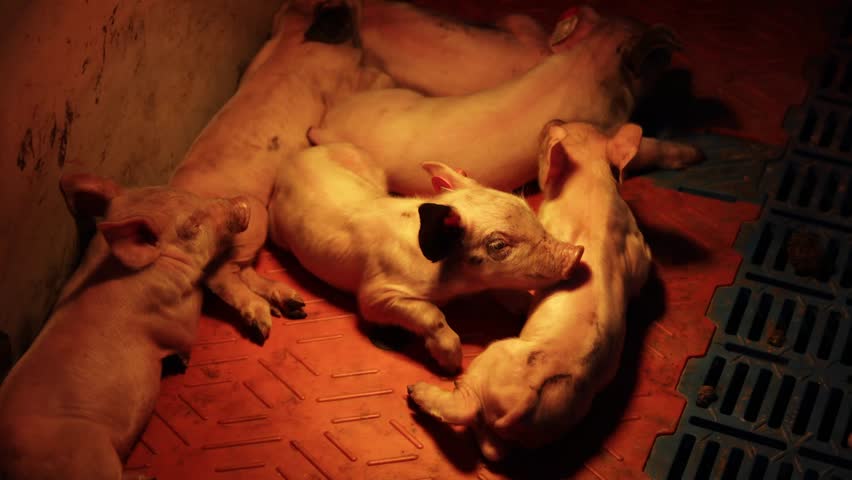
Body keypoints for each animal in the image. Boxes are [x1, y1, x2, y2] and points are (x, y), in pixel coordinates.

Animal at [0, 173, 250, 480]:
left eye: (189, 194)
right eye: (192, 226)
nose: (241, 202)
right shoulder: (180, 322)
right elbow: (185, 344)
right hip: (91, 457)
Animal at [168, 0, 393, 339]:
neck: (293, 36)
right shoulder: (344, 83)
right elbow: (372, 79)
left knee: (239, 272)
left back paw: (290, 305)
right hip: (252, 219)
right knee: (221, 276)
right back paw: (262, 321)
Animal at [267, 143, 584, 373]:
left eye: (527, 208)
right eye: (498, 245)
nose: (576, 253)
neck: (454, 288)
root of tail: (295, 157)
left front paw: (524, 306)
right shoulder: (376, 293)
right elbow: (430, 314)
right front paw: (453, 365)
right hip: (279, 235)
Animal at [307, 4, 685, 195]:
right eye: (660, 61)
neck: (591, 60)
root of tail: (326, 126)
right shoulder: (605, 127)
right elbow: (642, 148)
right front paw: (691, 154)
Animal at [407, 120, 702, 461]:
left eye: (547, 140)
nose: (552, 121)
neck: (593, 181)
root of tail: (525, 404)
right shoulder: (638, 248)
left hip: (492, 359)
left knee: (463, 407)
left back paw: (418, 391)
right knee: (493, 449)